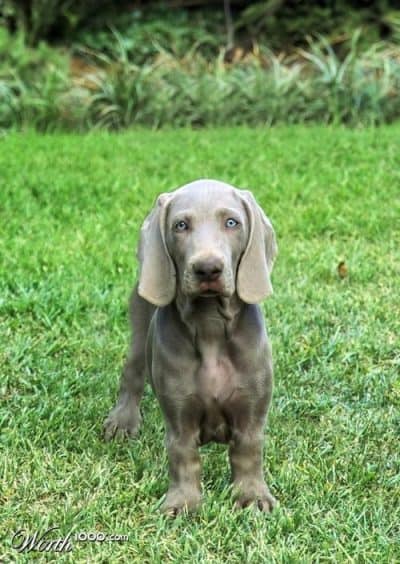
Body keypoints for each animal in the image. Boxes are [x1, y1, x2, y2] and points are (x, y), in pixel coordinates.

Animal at [104, 178, 278, 512]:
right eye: (180, 225)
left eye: (232, 222)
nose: (208, 268)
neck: (209, 324)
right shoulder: (178, 413)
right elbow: (183, 455)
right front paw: (183, 502)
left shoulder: (251, 412)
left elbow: (248, 452)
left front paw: (252, 496)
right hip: (139, 320)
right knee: (132, 371)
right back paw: (123, 420)